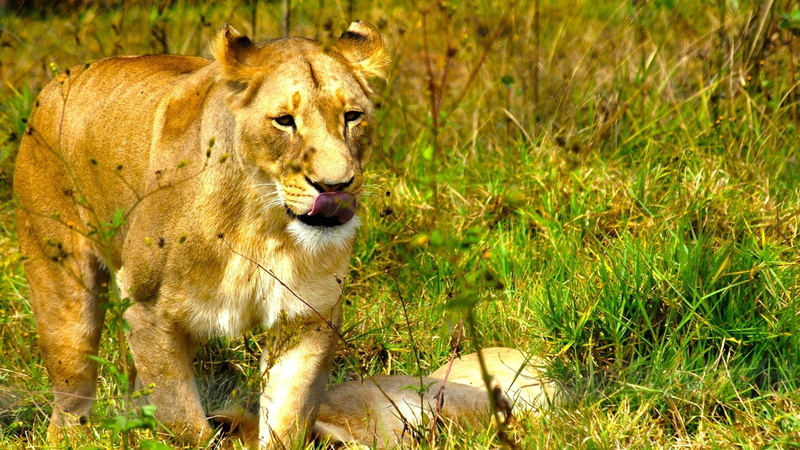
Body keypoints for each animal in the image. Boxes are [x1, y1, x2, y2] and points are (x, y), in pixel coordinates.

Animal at [13, 21, 388, 447]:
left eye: (353, 116)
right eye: (284, 120)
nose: (335, 186)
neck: (263, 224)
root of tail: (58, 80)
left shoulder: (307, 315)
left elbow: (289, 415)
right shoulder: (146, 305)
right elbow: (182, 418)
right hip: (61, 288)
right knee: (72, 390)